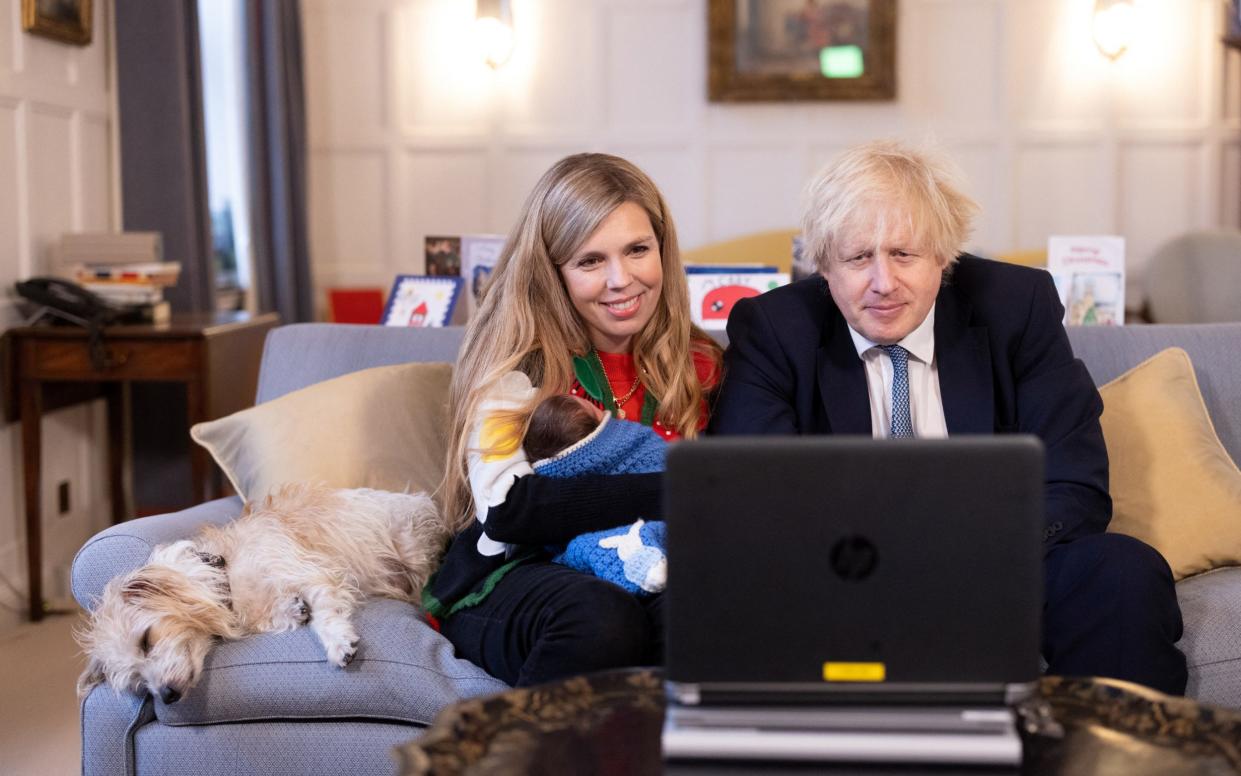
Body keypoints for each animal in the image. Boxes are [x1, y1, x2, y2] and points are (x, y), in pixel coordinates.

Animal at [75, 484, 449, 700]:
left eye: (146, 641)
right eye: (138, 682)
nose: (165, 696)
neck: (225, 571)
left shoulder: (312, 572)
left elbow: (325, 615)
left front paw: (337, 642)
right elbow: (285, 615)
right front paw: (292, 611)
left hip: (411, 548)